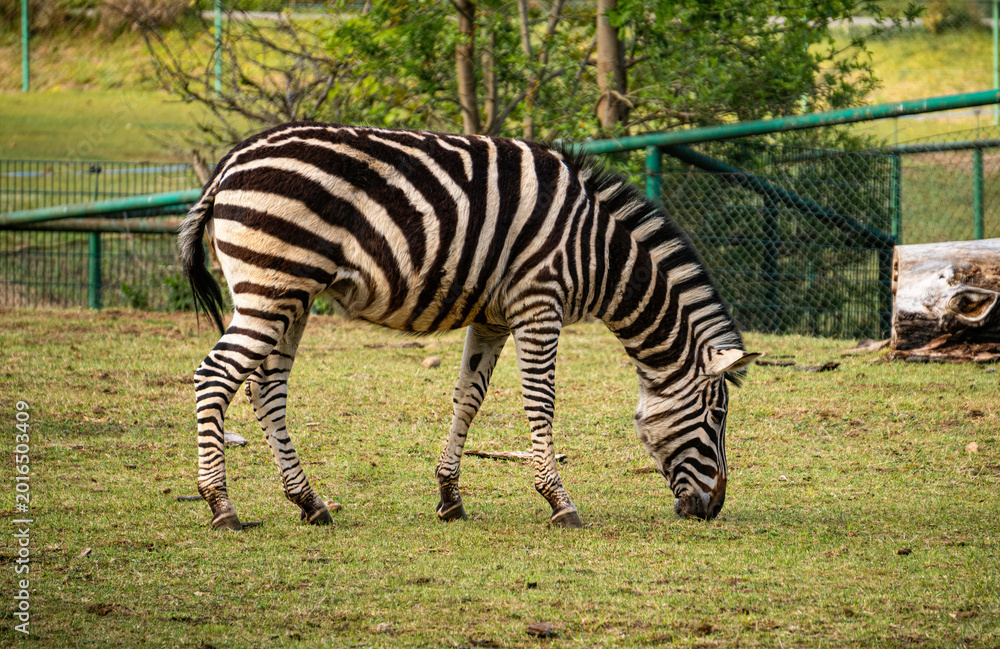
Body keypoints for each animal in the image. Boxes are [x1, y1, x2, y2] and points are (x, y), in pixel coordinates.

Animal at [179, 122, 759, 531]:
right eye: (717, 416)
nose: (713, 508)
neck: (596, 251)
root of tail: (232, 160)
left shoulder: (492, 317)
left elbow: (468, 397)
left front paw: (449, 497)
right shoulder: (538, 304)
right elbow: (541, 403)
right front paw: (559, 501)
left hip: (291, 295)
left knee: (266, 388)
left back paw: (309, 501)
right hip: (272, 286)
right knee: (215, 376)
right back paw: (221, 507)